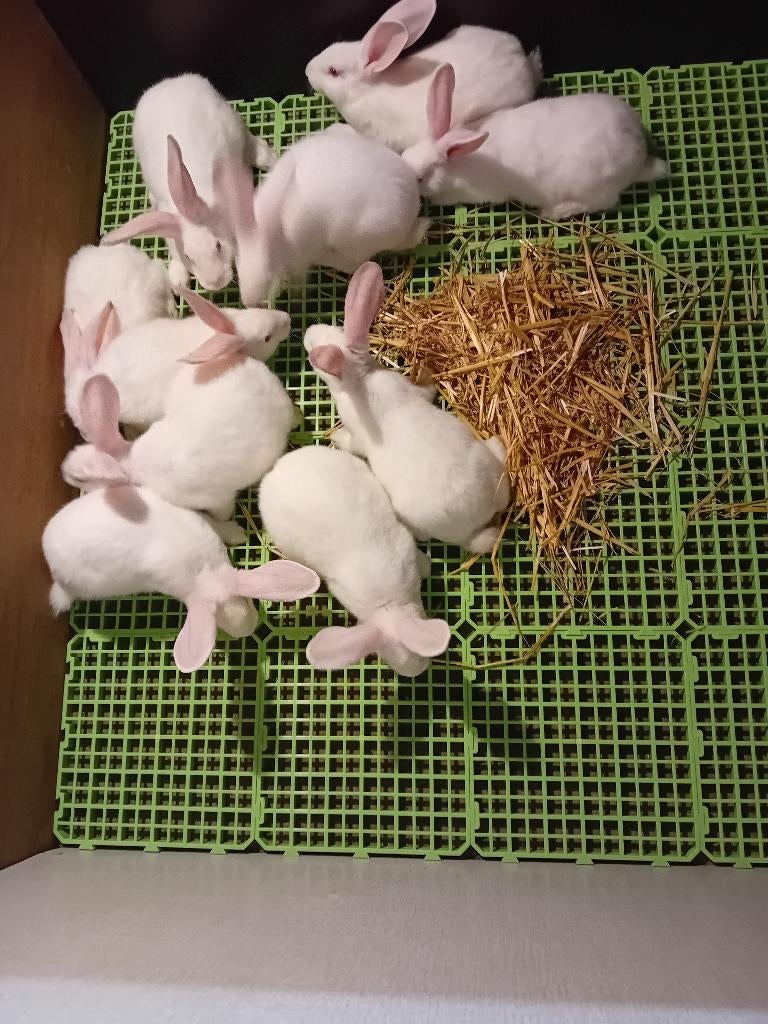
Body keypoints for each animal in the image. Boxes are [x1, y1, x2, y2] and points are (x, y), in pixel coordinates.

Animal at [101, 74, 276, 293]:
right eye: (188, 256)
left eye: (218, 245)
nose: (215, 283)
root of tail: (170, 81)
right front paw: (177, 281)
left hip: (232, 123)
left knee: (249, 142)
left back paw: (268, 158)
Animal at [226, 124, 427, 307]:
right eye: (238, 264)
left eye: (269, 269)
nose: (249, 302)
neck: (280, 236)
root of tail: (413, 196)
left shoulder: (299, 261)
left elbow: (298, 281)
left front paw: (296, 297)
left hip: (357, 238)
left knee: (354, 263)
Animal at [304, 262, 509, 553]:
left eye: (314, 356)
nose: (308, 330)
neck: (361, 378)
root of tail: (485, 506)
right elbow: (425, 391)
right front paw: (426, 373)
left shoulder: (358, 435)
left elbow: (352, 442)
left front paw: (335, 436)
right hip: (491, 461)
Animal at [401, 63, 668, 217]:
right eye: (403, 155)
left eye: (420, 178)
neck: (455, 164)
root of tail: (638, 154)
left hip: (592, 187)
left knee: (604, 202)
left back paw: (553, 211)